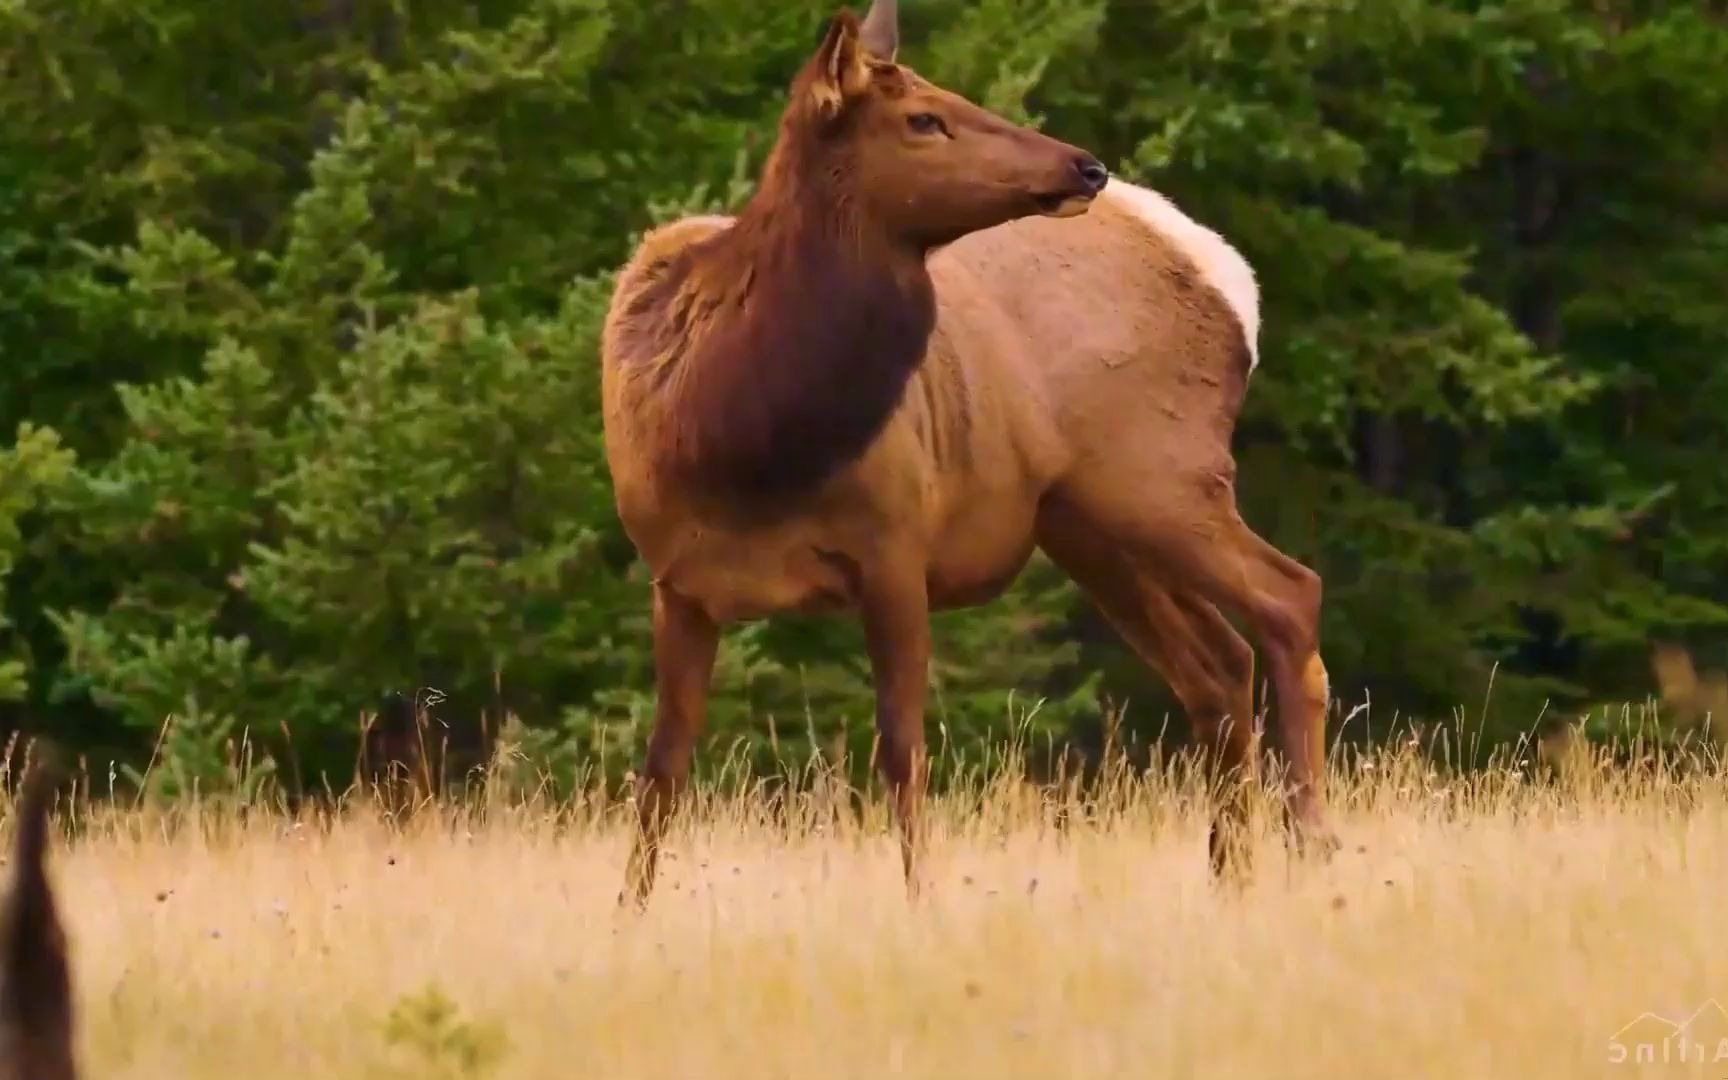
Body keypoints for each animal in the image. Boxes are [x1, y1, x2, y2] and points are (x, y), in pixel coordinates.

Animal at [601, 2, 1340, 898]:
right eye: (924, 118)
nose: (1084, 165)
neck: (736, 445)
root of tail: (1232, 281)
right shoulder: (679, 581)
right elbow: (661, 769)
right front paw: (628, 913)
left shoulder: (895, 542)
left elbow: (902, 750)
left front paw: (924, 903)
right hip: (1087, 519)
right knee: (1220, 664)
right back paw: (1232, 877)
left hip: (1161, 472)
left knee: (1290, 596)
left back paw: (1314, 846)